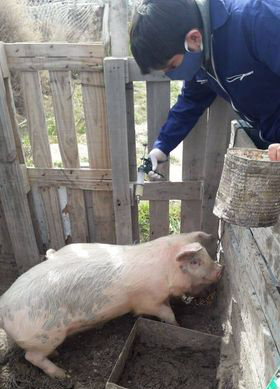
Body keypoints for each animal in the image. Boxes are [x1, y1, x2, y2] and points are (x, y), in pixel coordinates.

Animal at [0, 230, 223, 378]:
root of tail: (4, 305)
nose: (221, 268)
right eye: (195, 262)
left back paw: (57, 356)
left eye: (206, 255)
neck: (166, 271)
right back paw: (62, 375)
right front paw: (178, 326)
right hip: (43, 336)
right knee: (31, 357)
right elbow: (167, 313)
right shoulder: (148, 300)